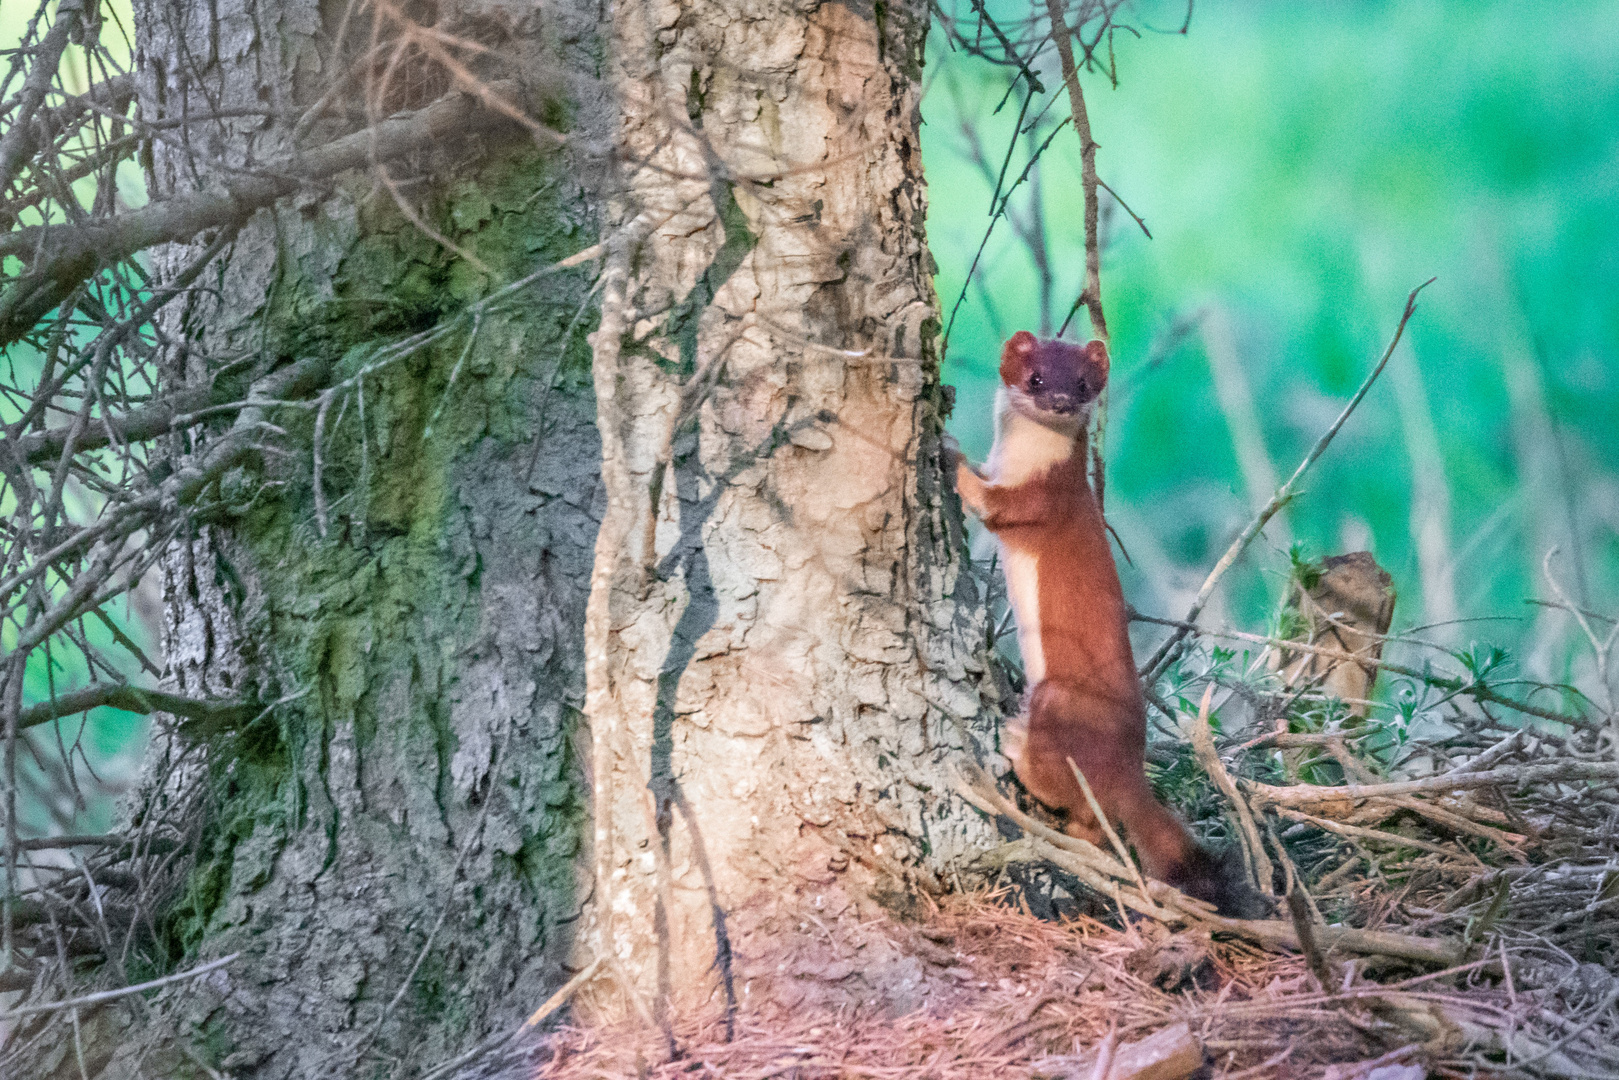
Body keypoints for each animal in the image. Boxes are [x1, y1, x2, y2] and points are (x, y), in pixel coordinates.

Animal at [945, 330, 1236, 913]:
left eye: (1082, 383)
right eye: (1036, 377)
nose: (1060, 402)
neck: (1019, 459)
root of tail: (1129, 767)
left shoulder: (1039, 497)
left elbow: (993, 503)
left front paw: (946, 448)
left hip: (1060, 698)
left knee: (1072, 794)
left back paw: (1016, 745)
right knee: (1095, 825)